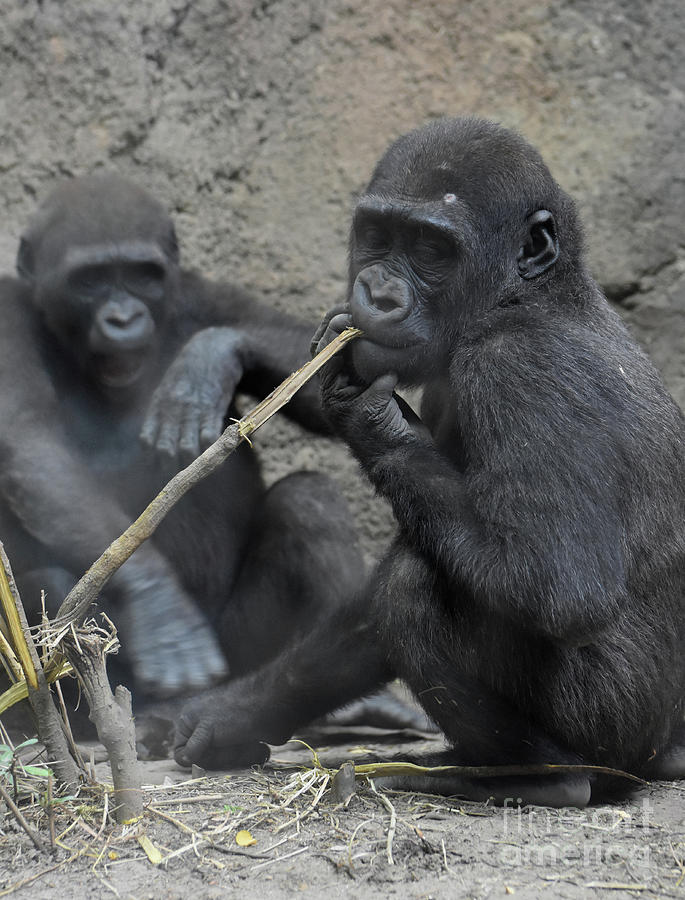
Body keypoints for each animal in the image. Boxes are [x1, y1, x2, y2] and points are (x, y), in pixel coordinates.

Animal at [0, 174, 364, 696]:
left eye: (142, 275)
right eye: (90, 280)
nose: (124, 318)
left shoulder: (203, 294)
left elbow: (323, 368)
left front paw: (207, 359)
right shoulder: (6, 317)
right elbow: (30, 442)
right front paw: (159, 602)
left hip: (240, 657)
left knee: (311, 505)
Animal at [174, 116, 684, 804]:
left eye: (431, 249)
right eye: (378, 236)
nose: (379, 294)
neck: (529, 296)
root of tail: (666, 748)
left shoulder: (517, 366)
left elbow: (559, 585)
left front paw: (369, 416)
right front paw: (236, 713)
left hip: (619, 730)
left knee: (413, 588)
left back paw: (545, 778)